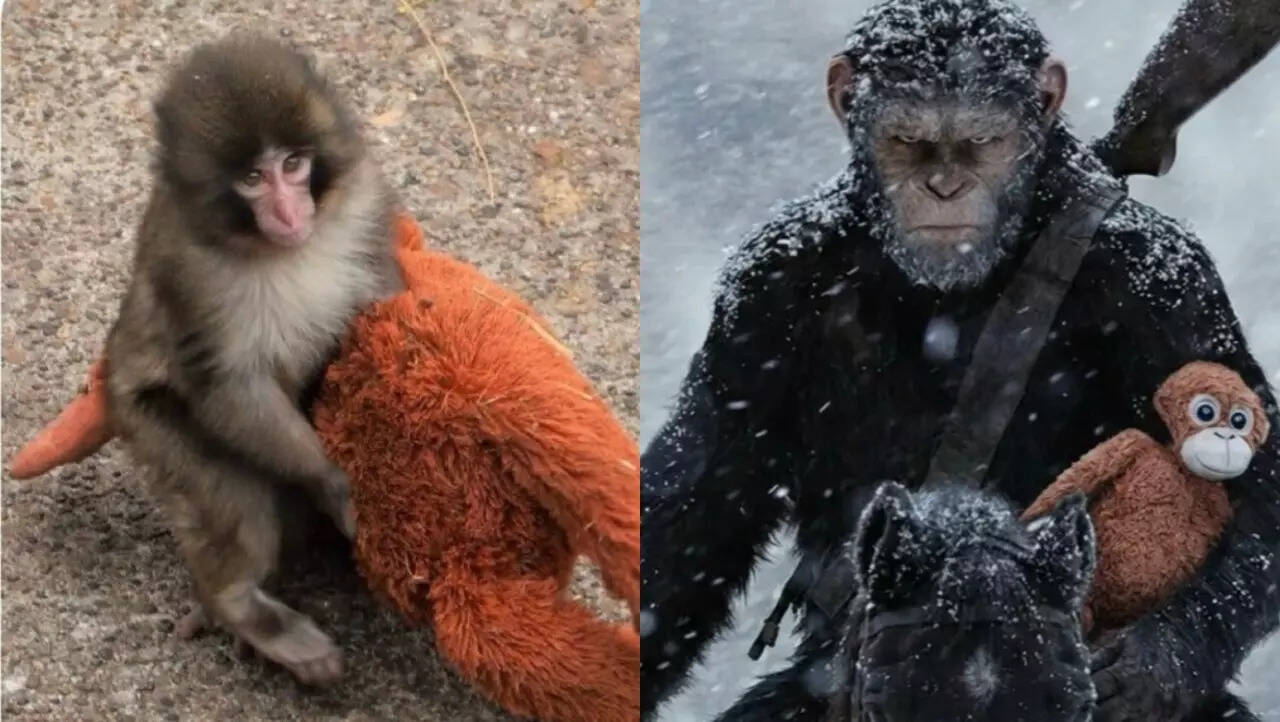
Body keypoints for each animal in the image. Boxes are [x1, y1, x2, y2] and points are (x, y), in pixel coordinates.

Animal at [103, 34, 401, 685]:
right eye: (251, 178)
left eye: (292, 165)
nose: (290, 213)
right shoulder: (188, 270)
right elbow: (227, 387)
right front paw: (333, 481)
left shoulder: (366, 200)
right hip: (145, 423)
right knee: (232, 498)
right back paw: (240, 606)